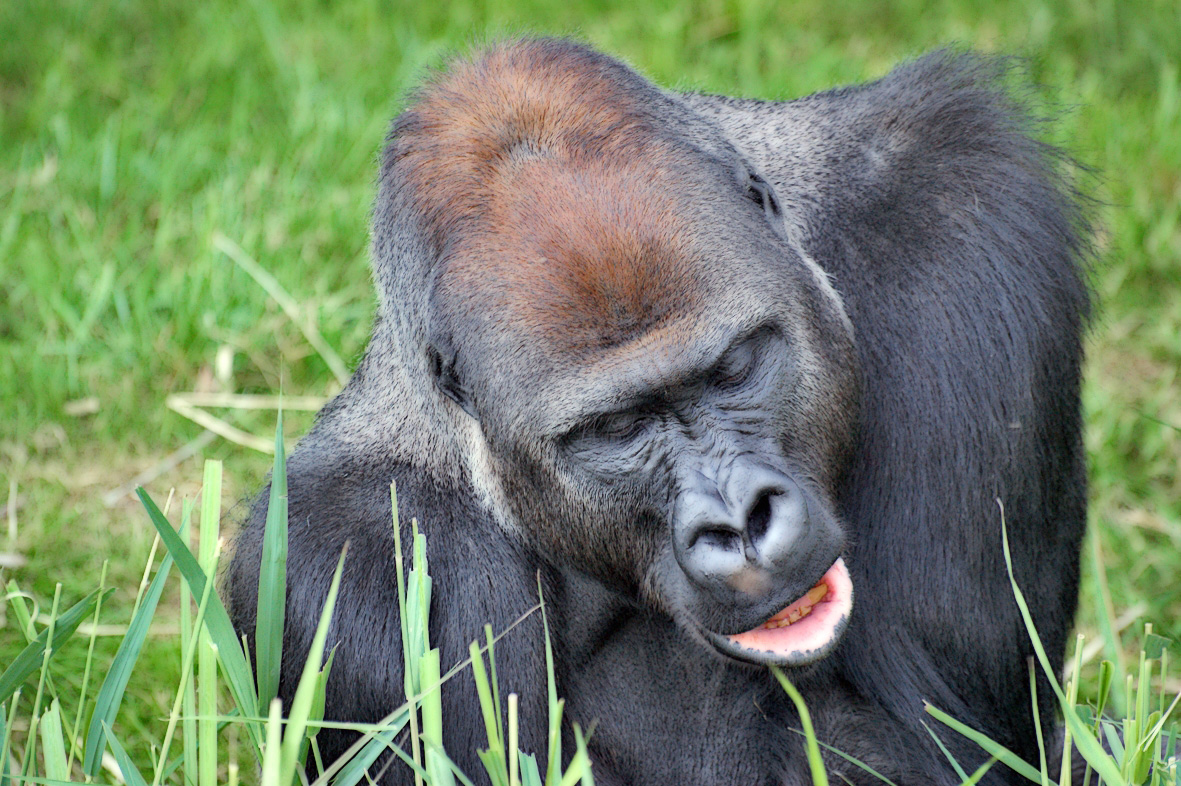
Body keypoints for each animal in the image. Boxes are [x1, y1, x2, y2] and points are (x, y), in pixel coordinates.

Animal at [225, 39, 1091, 783]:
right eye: (618, 428)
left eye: (734, 367)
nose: (740, 524)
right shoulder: (344, 562)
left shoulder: (953, 214)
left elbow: (948, 736)